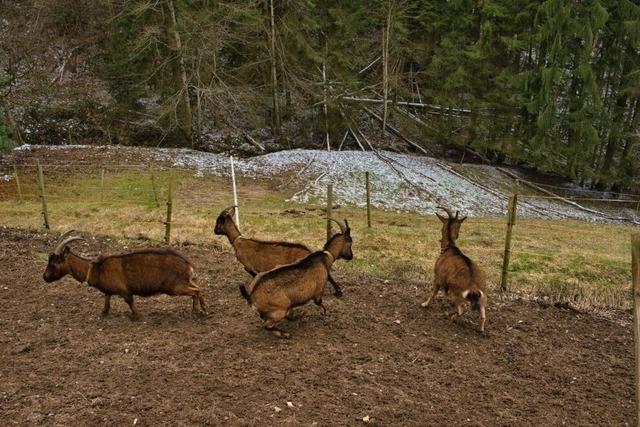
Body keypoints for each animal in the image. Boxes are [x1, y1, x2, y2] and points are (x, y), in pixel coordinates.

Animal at [42, 232, 206, 320]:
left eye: (54, 263)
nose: (45, 277)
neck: (96, 269)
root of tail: (188, 264)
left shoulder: (125, 291)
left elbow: (130, 302)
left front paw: (137, 315)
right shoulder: (108, 291)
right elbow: (107, 301)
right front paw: (104, 313)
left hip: (174, 287)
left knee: (195, 291)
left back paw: (197, 311)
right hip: (183, 282)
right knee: (198, 288)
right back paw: (203, 308)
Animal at [214, 206, 344, 298]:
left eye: (218, 221)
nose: (214, 231)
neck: (238, 241)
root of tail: (308, 250)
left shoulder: (247, 264)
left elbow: (252, 273)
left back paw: (337, 291)